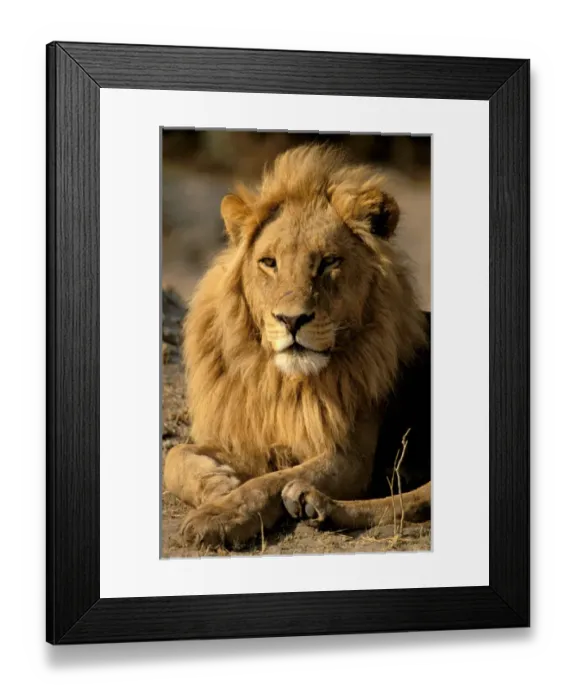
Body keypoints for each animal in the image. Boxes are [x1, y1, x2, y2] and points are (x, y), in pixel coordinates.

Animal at [164, 143, 431, 548]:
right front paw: (218, 485)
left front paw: (221, 514)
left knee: (414, 500)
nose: (291, 320)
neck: (283, 383)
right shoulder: (247, 436)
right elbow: (174, 455)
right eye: (269, 262)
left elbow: (270, 481)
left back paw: (313, 502)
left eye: (329, 262)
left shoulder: (349, 458)